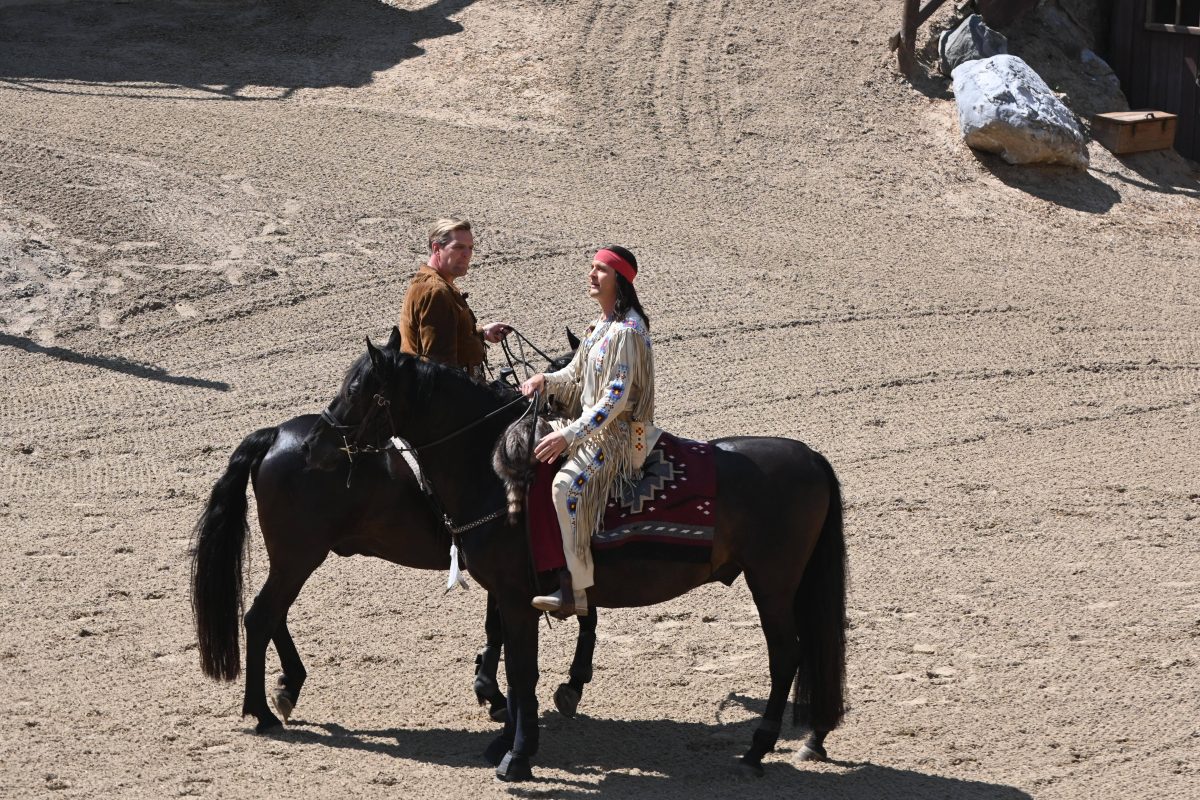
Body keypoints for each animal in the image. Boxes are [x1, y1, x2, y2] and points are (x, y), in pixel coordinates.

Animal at [192, 338, 600, 734]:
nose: (312, 446)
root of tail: (277, 434)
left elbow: (503, 623)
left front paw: (492, 688)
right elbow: (571, 614)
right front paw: (560, 684)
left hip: (294, 559)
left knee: (275, 614)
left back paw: (288, 686)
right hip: (297, 556)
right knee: (261, 617)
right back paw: (262, 711)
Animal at [304, 333, 849, 782]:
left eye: (357, 387)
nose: (312, 445)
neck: (494, 474)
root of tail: (811, 457)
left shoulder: (516, 596)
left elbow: (523, 671)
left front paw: (518, 756)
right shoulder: (511, 596)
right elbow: (515, 665)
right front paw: (506, 739)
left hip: (772, 584)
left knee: (787, 655)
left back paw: (758, 750)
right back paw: (806, 739)